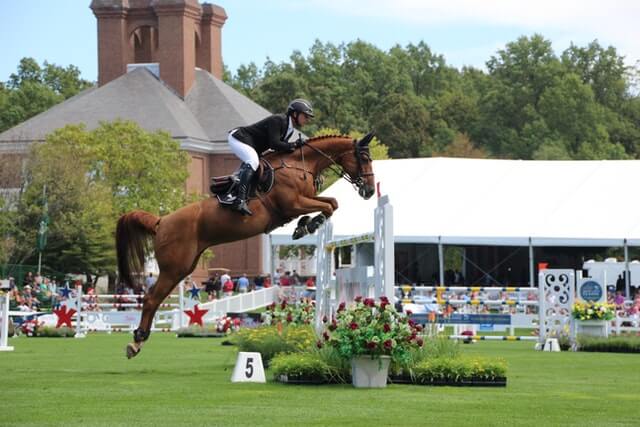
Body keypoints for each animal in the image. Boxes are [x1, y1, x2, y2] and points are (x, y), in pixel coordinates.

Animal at [116, 132, 376, 358]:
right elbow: (329, 205)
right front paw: (309, 225)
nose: (370, 190)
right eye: (364, 158)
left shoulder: (304, 201)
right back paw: (136, 342)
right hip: (174, 268)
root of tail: (161, 221)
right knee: (151, 299)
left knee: (155, 298)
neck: (299, 165)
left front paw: (305, 226)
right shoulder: (293, 204)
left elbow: (331, 202)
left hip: (184, 267)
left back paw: (138, 340)